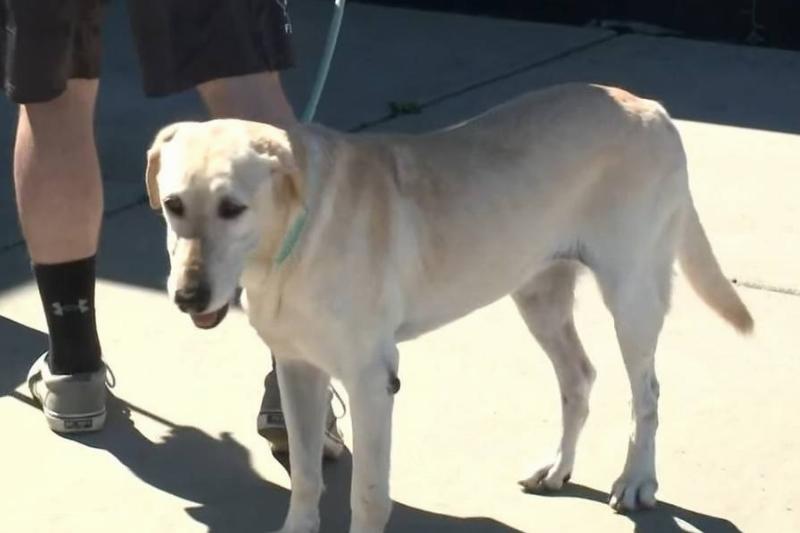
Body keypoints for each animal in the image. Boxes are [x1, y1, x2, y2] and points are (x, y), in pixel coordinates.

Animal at [147, 83, 752, 532]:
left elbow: (368, 494)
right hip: (538, 294)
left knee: (646, 394)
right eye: (173, 205)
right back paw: (558, 468)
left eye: (232, 208)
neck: (289, 241)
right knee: (579, 378)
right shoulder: (298, 371)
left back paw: (637, 480)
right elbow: (304, 476)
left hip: (631, 294)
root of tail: (650, 107)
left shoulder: (370, 382)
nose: (185, 297)